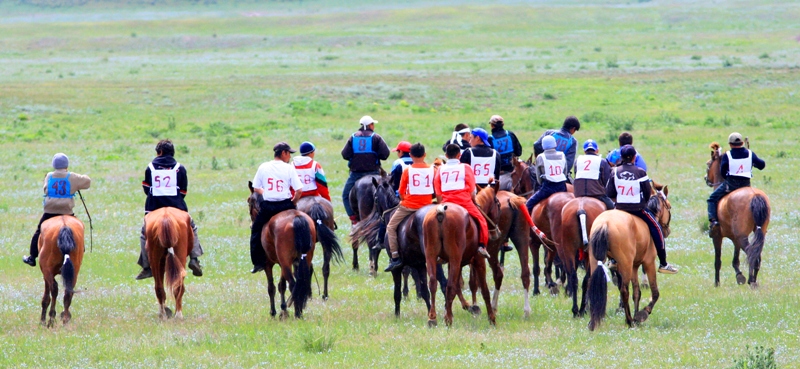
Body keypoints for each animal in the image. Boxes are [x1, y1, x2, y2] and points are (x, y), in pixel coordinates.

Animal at [247, 185, 316, 318]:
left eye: (249, 202)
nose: (251, 225)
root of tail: (297, 218)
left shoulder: (268, 264)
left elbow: (271, 287)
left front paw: (274, 312)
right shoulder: (282, 263)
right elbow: (281, 286)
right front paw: (283, 310)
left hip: (285, 262)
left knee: (293, 284)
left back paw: (297, 313)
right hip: (302, 259)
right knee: (300, 283)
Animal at [424, 188, 494, 326]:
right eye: (498, 203)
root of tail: (441, 211)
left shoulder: (453, 263)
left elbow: (458, 285)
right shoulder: (478, 260)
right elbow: (484, 289)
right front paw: (491, 318)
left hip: (431, 255)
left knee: (433, 282)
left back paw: (432, 318)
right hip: (455, 257)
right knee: (450, 285)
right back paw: (448, 319)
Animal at [584, 185, 672, 330]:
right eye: (669, 206)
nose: (667, 231)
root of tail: (605, 223)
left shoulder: (634, 266)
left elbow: (637, 291)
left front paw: (637, 315)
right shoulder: (648, 262)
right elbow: (655, 292)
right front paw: (642, 313)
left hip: (596, 260)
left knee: (593, 285)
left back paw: (592, 322)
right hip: (625, 264)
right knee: (624, 290)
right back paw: (629, 320)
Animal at [708, 142, 768, 286]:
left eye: (708, 164)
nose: (706, 178)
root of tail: (755, 196)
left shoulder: (717, 237)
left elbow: (717, 261)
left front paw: (717, 283)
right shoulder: (735, 239)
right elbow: (735, 260)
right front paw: (739, 276)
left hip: (742, 236)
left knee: (751, 253)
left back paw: (751, 281)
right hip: (759, 232)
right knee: (757, 254)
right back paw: (754, 280)